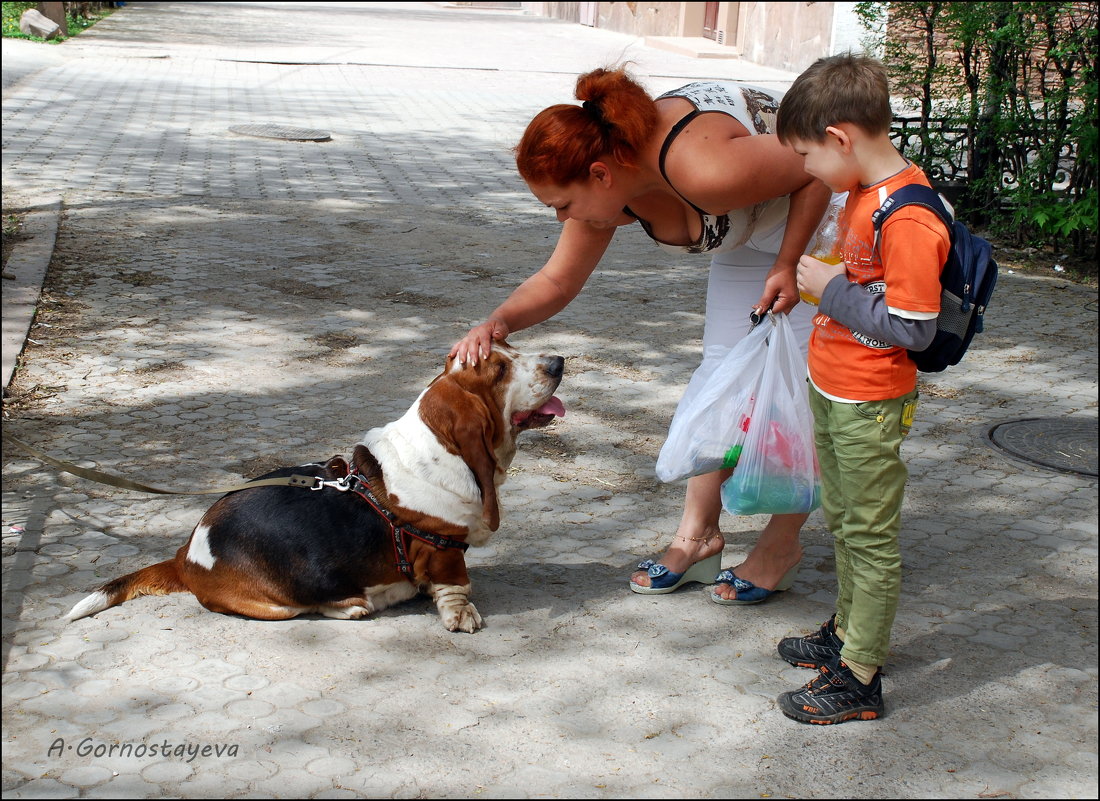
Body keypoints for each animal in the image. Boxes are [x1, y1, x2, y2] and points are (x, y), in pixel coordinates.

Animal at [66, 341, 567, 633]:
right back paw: (354, 605)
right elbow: (456, 584)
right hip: (278, 605)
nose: (559, 361)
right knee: (310, 606)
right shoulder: (442, 549)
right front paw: (460, 614)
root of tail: (185, 553)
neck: (440, 449)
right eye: (499, 369)